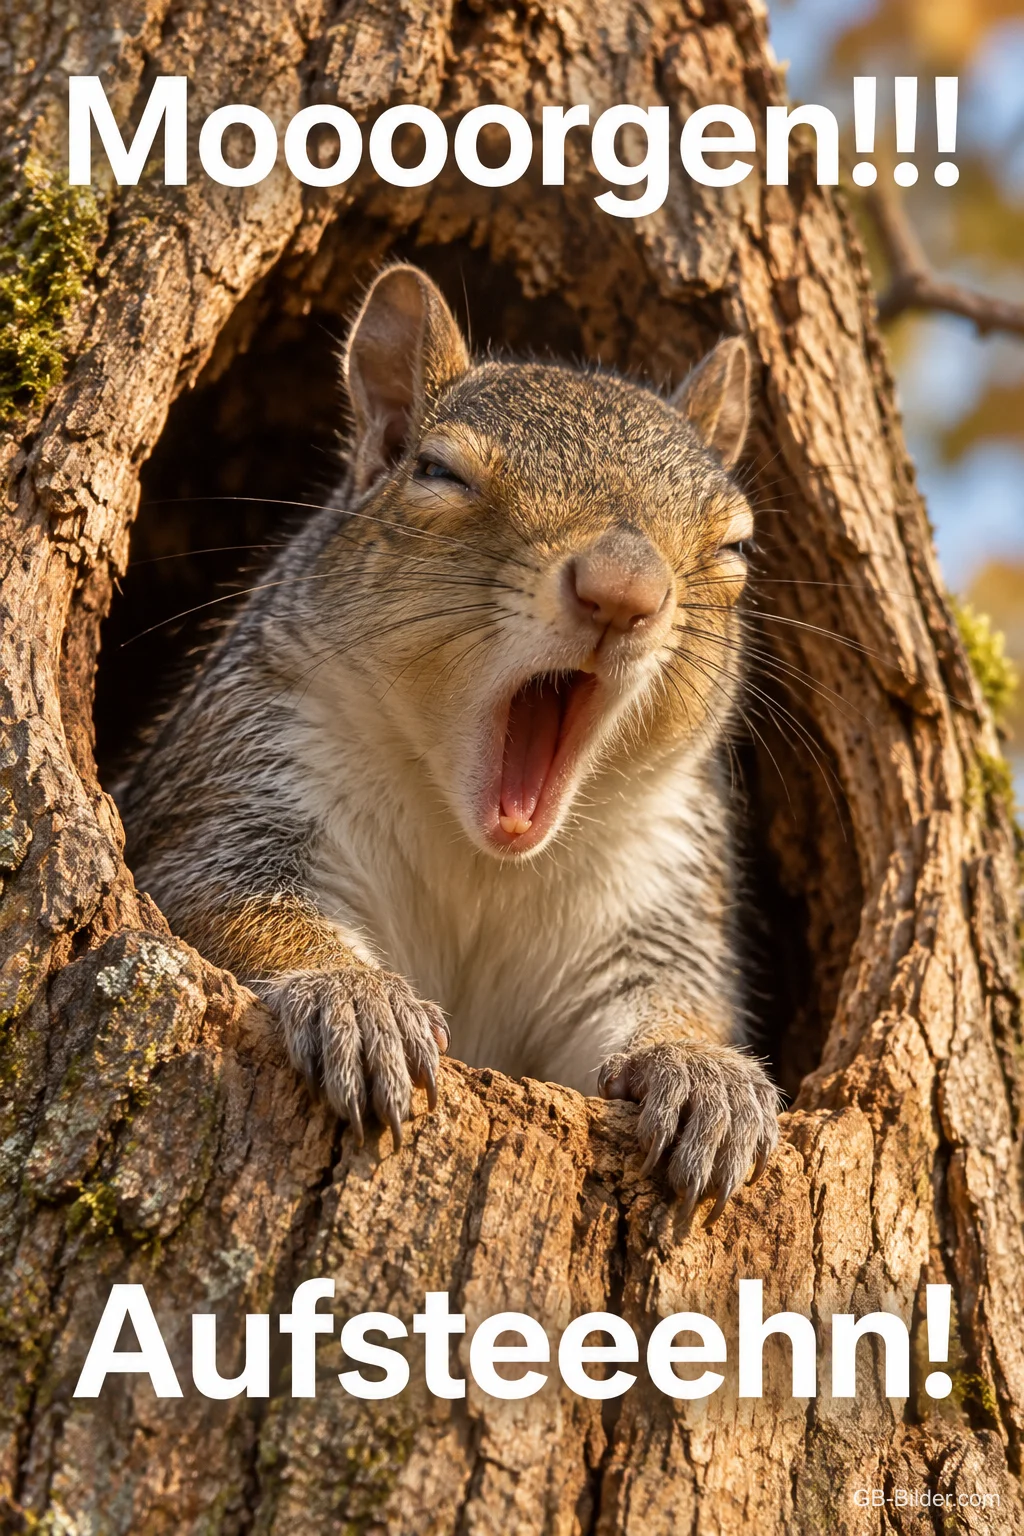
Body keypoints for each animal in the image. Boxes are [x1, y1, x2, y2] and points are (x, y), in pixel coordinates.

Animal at [118, 264, 780, 1226]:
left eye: (737, 544)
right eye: (437, 471)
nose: (622, 590)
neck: (478, 849)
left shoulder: (653, 886)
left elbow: (662, 996)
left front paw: (703, 1072)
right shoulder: (240, 775)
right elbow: (227, 898)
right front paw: (359, 1001)